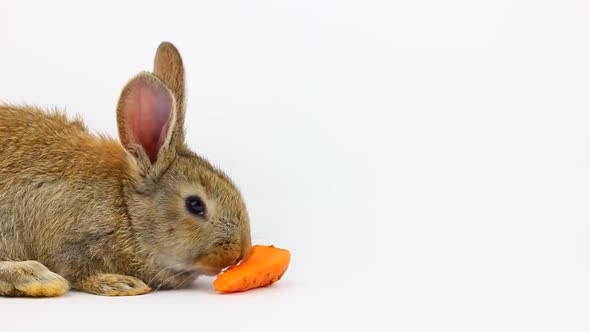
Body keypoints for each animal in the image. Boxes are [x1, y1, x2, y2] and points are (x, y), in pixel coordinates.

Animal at [0, 40, 252, 296]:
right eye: (195, 205)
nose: (240, 252)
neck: (127, 209)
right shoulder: (71, 241)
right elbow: (79, 271)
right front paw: (120, 283)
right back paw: (37, 278)